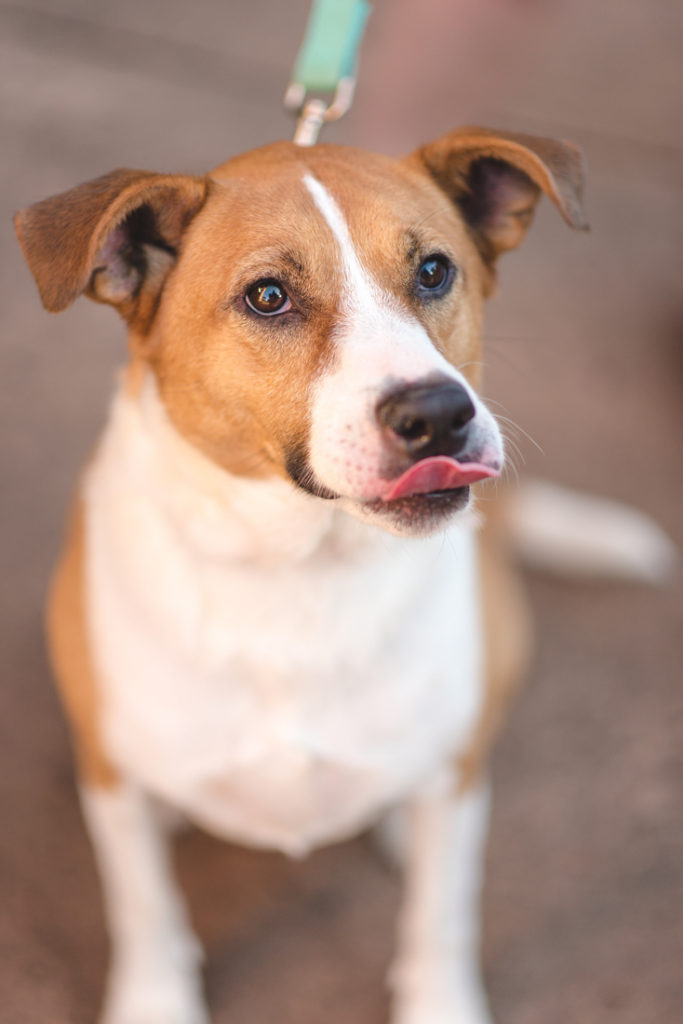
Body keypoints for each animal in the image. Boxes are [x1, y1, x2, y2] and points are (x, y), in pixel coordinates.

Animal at [14, 128, 589, 1024]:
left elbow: (439, 915)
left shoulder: (454, 798)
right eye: (268, 297)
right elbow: (145, 909)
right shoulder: (113, 784)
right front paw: (154, 1001)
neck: (296, 570)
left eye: (434, 271)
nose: (438, 414)